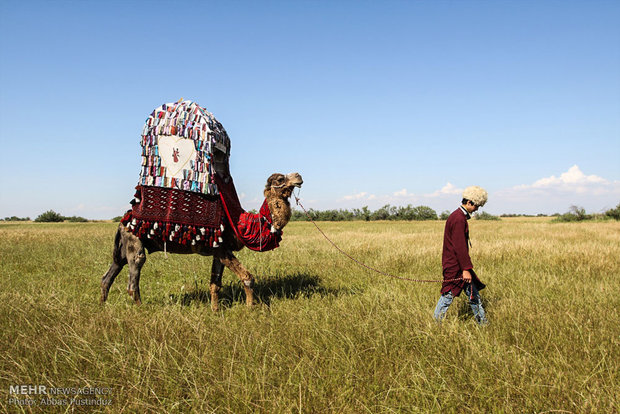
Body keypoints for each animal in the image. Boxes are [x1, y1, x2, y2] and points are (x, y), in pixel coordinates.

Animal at [100, 171, 302, 310]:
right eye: (280, 179)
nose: (298, 176)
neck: (242, 223)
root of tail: (123, 221)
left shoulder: (219, 250)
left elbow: (215, 284)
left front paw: (215, 310)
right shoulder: (222, 249)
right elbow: (247, 277)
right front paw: (250, 307)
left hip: (122, 249)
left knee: (109, 275)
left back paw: (103, 305)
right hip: (134, 242)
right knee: (134, 274)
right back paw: (141, 309)